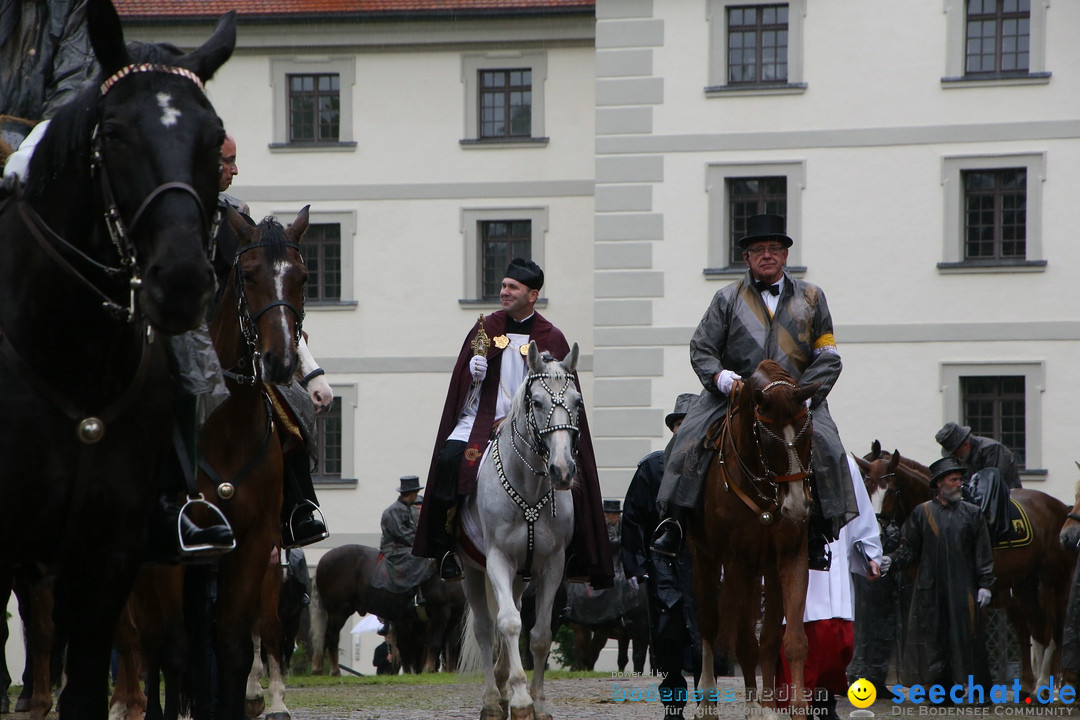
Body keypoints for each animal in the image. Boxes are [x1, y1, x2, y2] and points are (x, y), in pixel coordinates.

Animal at [311, 546, 466, 677]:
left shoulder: (453, 618)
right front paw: (429, 670)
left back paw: (319, 669)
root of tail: (323, 561)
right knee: (332, 636)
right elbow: (433, 644)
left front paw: (450, 671)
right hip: (338, 612)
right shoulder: (439, 614)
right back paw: (334, 671)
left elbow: (451, 647)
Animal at [462, 343, 583, 720]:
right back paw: (492, 700)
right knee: (486, 629)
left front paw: (538, 702)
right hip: (471, 570)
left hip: (518, 575)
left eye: (577, 401)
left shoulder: (552, 565)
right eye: (538, 402)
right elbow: (509, 624)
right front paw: (518, 699)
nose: (562, 470)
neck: (528, 488)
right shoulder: (497, 560)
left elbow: (540, 634)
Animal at [682, 360, 816, 716]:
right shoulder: (736, 562)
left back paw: (768, 702)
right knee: (709, 624)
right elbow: (744, 643)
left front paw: (794, 708)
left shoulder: (791, 556)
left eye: (808, 433)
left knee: (768, 639)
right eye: (768, 440)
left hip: (764, 568)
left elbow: (793, 641)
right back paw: (708, 701)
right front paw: (754, 708)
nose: (796, 506)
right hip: (705, 558)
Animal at [855, 442, 1075, 695]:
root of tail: (1060, 509)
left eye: (890, 491)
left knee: (1052, 632)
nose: (876, 536)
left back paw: (1044, 685)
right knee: (1038, 630)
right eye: (866, 488)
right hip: (1025, 586)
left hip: (1052, 583)